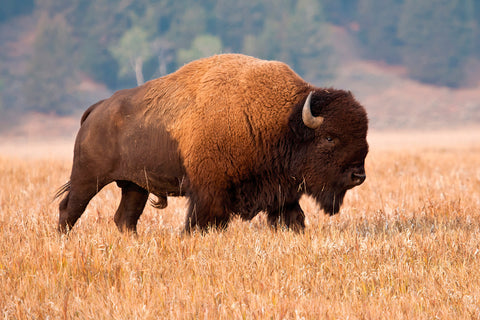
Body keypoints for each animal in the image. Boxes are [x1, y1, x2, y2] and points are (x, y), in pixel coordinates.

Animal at [58, 53, 370, 234]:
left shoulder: (282, 192)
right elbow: (204, 221)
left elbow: (293, 217)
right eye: (329, 137)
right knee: (70, 209)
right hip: (88, 178)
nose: (358, 175)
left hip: (135, 186)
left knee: (125, 218)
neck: (283, 122)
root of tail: (97, 109)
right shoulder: (210, 191)